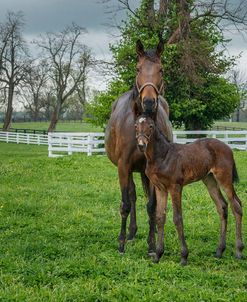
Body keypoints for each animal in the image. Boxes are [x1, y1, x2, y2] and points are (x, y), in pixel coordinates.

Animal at [136, 115, 244, 264]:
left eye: (151, 126)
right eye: (136, 126)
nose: (141, 145)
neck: (162, 156)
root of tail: (228, 147)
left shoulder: (175, 187)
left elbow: (177, 218)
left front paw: (184, 256)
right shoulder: (160, 188)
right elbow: (160, 217)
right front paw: (158, 255)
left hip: (224, 179)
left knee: (236, 206)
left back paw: (239, 251)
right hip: (209, 180)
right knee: (222, 206)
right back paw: (219, 251)